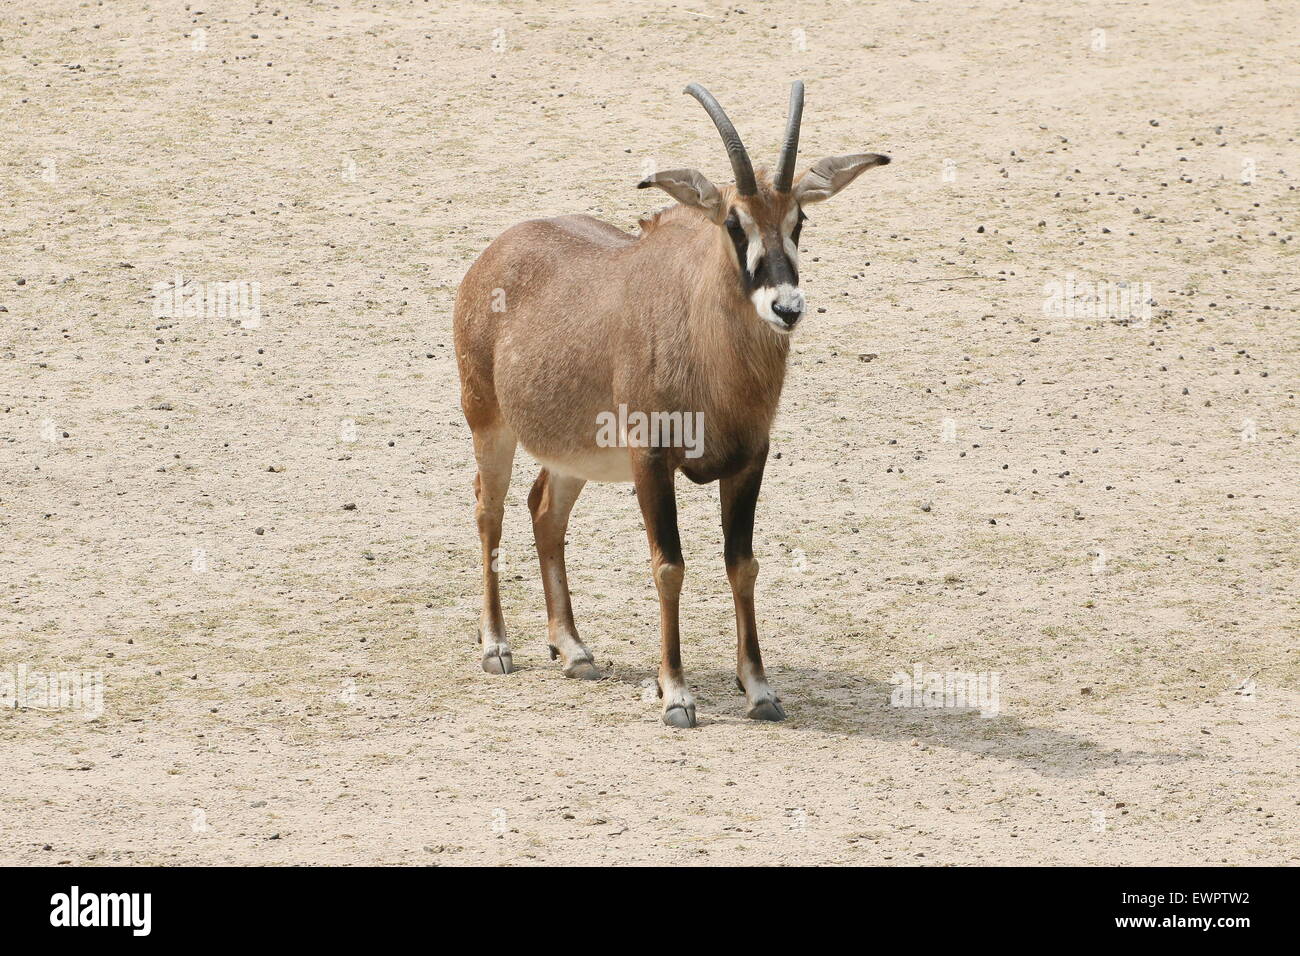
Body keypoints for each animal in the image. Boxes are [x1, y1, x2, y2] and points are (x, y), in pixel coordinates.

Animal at [453, 81, 890, 727]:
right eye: (734, 222)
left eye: (799, 219)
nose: (786, 307)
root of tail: (494, 252)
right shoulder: (651, 462)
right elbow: (669, 566)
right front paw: (676, 694)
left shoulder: (749, 461)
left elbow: (742, 564)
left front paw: (759, 688)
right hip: (489, 421)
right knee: (490, 509)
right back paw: (496, 646)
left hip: (573, 454)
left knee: (545, 511)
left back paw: (574, 649)